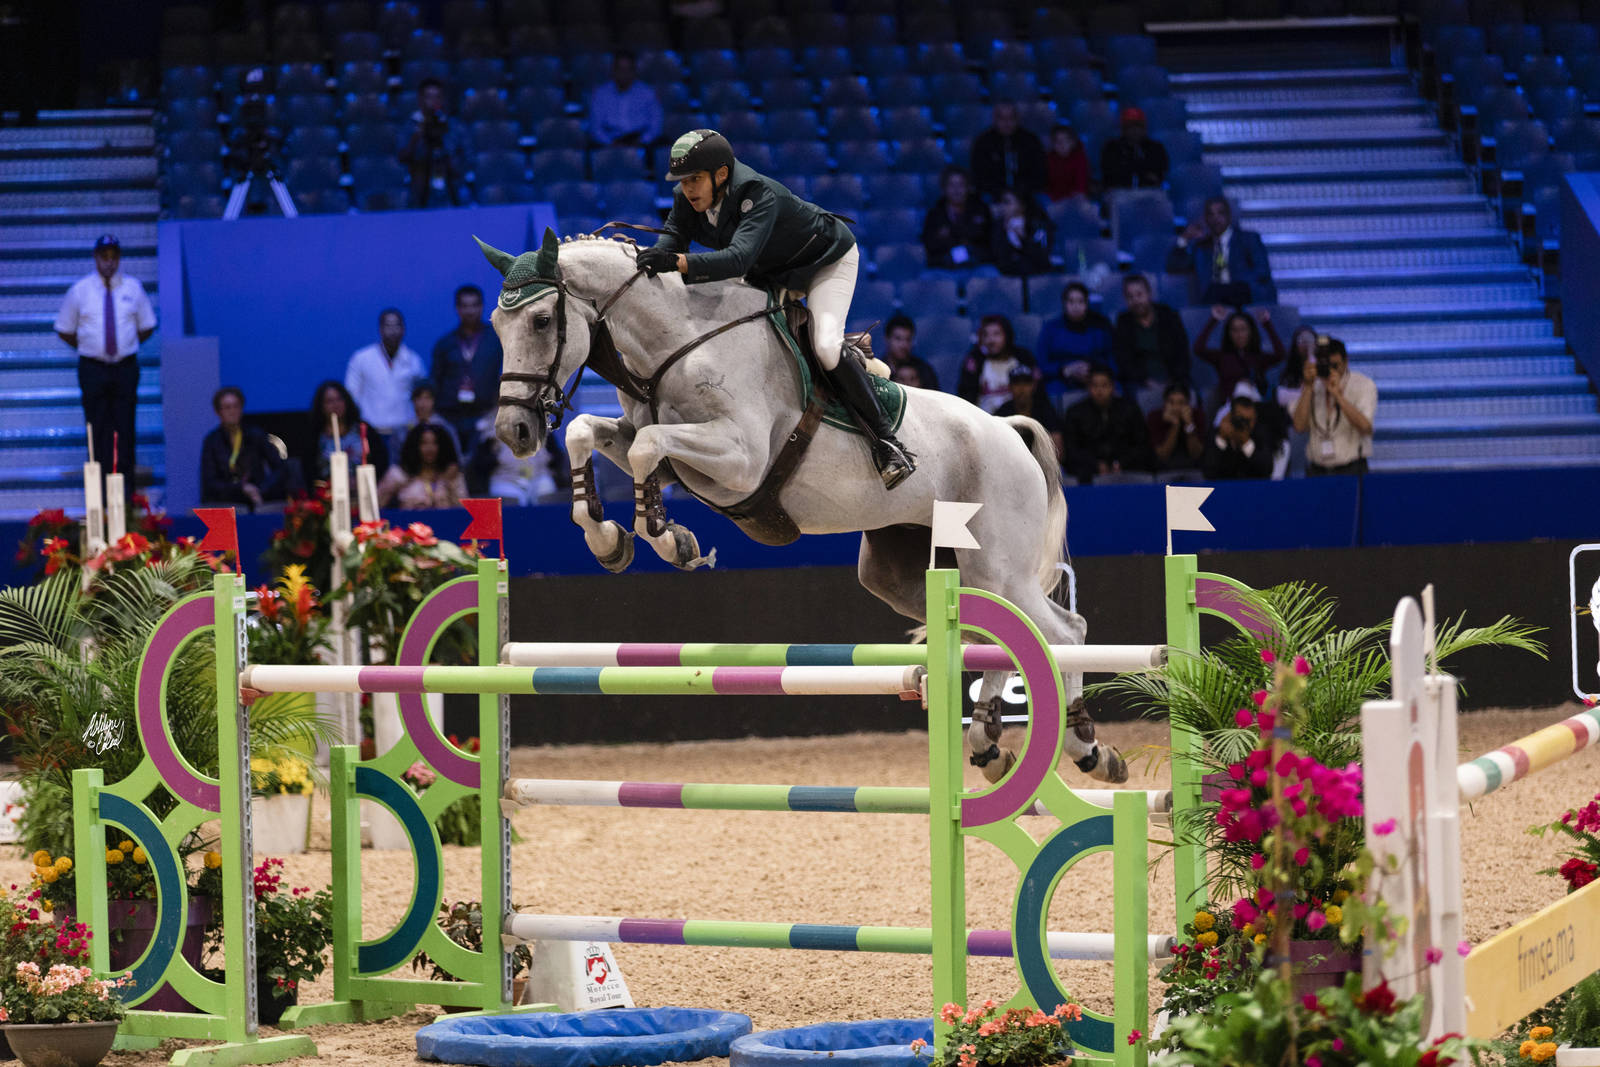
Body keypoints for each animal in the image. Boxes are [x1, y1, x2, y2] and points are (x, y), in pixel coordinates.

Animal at [478, 229, 1127, 785]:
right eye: (495, 324)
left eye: (541, 319)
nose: (513, 432)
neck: (676, 344)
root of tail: (1007, 429)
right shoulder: (660, 442)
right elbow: (589, 433)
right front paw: (611, 539)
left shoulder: (739, 460)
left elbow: (644, 447)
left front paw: (666, 538)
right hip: (915, 571)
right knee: (1000, 633)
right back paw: (1007, 745)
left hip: (997, 566)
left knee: (1060, 632)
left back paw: (1072, 746)